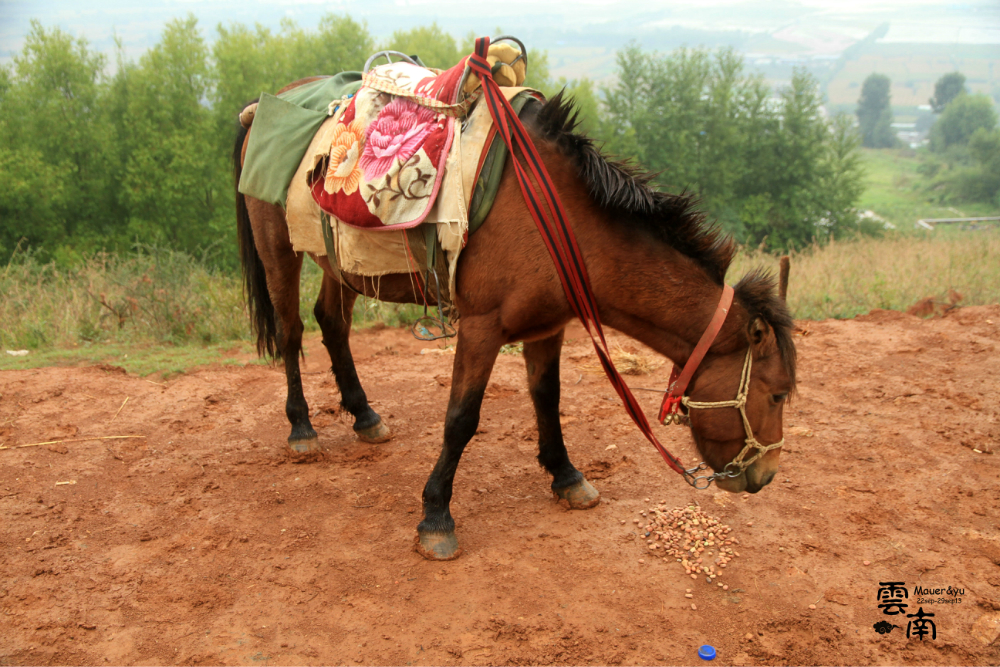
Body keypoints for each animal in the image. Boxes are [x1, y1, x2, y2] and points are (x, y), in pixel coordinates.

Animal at [232, 83, 796, 564]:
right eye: (776, 395)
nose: (765, 476)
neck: (555, 213)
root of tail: (265, 104)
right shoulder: (481, 327)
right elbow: (461, 419)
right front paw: (436, 517)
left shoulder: (548, 326)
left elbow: (547, 399)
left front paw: (566, 476)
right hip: (279, 247)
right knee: (291, 332)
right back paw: (302, 428)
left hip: (341, 262)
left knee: (331, 323)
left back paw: (364, 415)